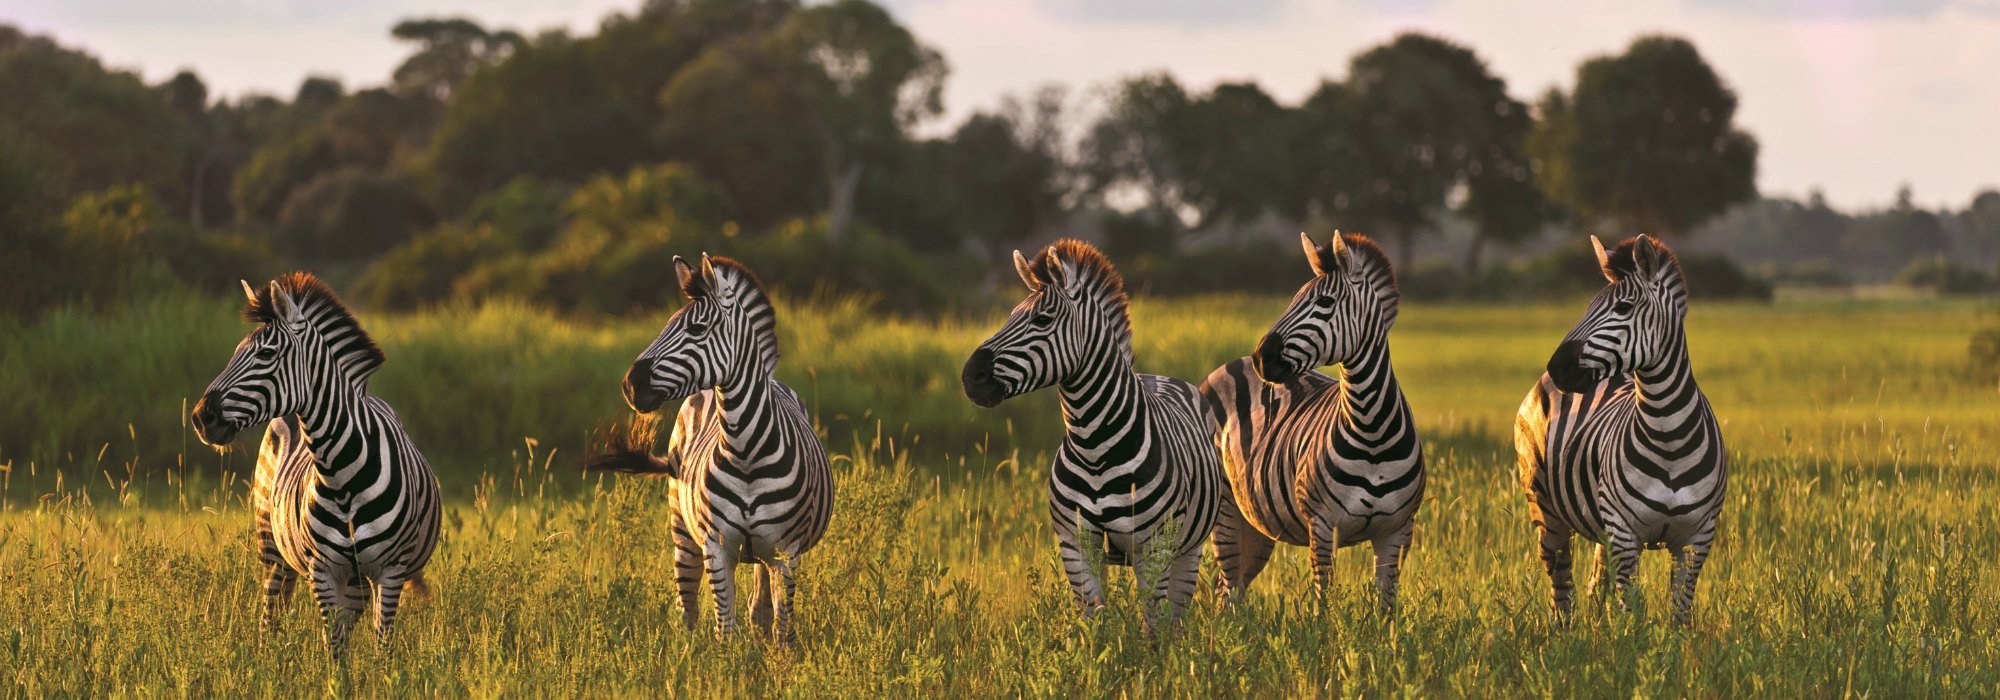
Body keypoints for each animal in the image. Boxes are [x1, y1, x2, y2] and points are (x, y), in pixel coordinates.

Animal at [188, 274, 442, 656]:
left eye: (266, 354)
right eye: (235, 352)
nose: (201, 417)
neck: (343, 476)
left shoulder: (391, 570)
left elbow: (382, 647)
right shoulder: (321, 570)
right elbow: (334, 649)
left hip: (357, 579)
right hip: (273, 549)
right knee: (270, 618)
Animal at [584, 253, 832, 644]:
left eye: (697, 330)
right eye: (664, 326)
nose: (629, 385)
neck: (746, 452)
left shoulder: (786, 553)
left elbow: (783, 630)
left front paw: (779, 661)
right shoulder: (717, 548)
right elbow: (725, 630)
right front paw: (724, 662)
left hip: (764, 556)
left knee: (760, 610)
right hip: (682, 531)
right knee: (687, 608)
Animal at [960, 241, 1224, 636]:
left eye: (1042, 320)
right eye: (1009, 316)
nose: (970, 376)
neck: (1095, 446)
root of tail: (1158, 376)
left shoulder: (1154, 547)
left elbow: (1152, 628)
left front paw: (1150, 654)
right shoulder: (1076, 542)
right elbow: (1094, 624)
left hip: (1188, 548)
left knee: (1175, 619)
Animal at [1200, 232, 1424, 608]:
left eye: (1325, 302)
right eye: (1294, 299)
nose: (1262, 358)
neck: (1372, 430)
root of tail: (1231, 364)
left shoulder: (1396, 532)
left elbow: (1386, 608)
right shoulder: (1321, 528)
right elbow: (1324, 604)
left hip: (1256, 523)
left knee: (1232, 589)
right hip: (1226, 508)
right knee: (1227, 591)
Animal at [1520, 235, 1728, 624]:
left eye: (1623, 307)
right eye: (1589, 306)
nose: (1557, 367)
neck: (1668, 436)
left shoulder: (1696, 539)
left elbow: (1679, 615)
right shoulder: (1625, 533)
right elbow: (1631, 613)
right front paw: (1630, 641)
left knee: (1592, 583)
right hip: (1546, 512)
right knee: (1561, 588)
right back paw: (1564, 634)